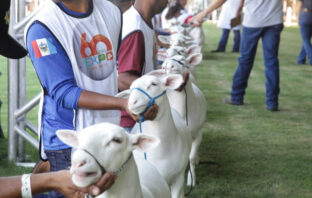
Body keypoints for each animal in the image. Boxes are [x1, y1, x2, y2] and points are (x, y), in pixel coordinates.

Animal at [161, 53, 207, 186]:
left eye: (182, 59)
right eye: (163, 66)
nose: (169, 66)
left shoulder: (198, 133)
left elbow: (190, 157)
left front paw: (191, 179)